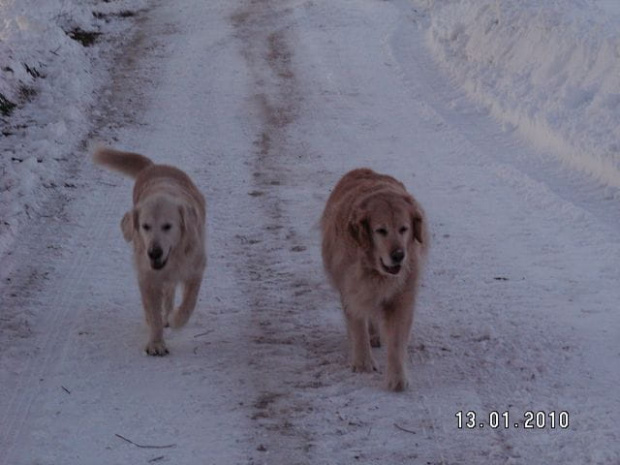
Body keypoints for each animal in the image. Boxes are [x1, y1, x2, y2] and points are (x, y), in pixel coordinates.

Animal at [93, 149, 207, 356]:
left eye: (167, 226)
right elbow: (153, 312)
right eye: (145, 226)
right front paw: (156, 343)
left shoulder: (195, 269)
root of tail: (154, 166)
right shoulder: (147, 277)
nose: (154, 252)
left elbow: (189, 304)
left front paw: (176, 318)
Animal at [322, 169, 428, 390]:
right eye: (380, 230)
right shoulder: (351, 289)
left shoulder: (402, 295)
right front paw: (363, 363)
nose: (398, 255)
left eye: (404, 229)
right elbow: (357, 326)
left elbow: (396, 339)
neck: (375, 271)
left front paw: (397, 378)